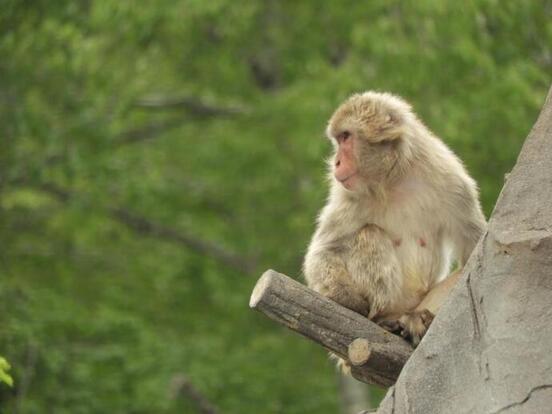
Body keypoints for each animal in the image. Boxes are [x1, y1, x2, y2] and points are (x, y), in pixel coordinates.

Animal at [304, 91, 486, 352]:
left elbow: (473, 254)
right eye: (338, 140)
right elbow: (323, 252)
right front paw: (349, 300)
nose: (336, 162)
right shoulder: (347, 196)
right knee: (370, 233)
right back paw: (384, 320)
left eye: (346, 137)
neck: (394, 178)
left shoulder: (452, 181)